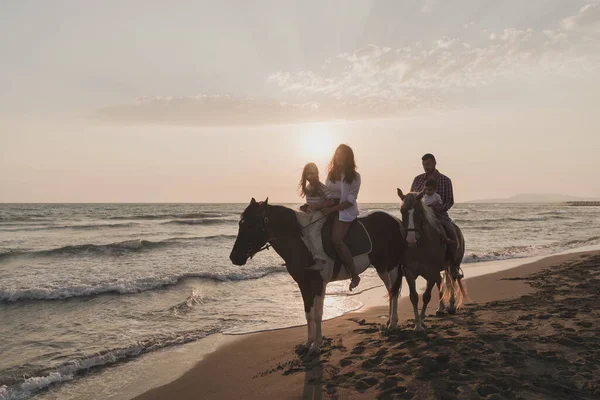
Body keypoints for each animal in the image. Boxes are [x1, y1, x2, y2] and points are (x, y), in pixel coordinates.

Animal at [230, 198, 404, 354]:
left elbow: (318, 314)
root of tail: (395, 220)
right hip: (381, 266)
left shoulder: (319, 283)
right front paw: (308, 343)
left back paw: (393, 324)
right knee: (390, 290)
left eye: (251, 225)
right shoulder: (303, 284)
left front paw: (316, 345)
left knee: (394, 291)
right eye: (240, 224)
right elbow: (308, 314)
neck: (304, 242)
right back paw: (389, 321)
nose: (234, 257)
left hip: (392, 265)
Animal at [398, 189, 468, 332]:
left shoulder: (432, 270)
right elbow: (414, 297)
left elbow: (426, 296)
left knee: (452, 278)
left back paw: (451, 306)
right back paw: (441, 309)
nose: (411, 240)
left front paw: (422, 320)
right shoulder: (409, 271)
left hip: (453, 265)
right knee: (440, 281)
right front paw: (418, 324)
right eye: (402, 210)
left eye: (419, 211)